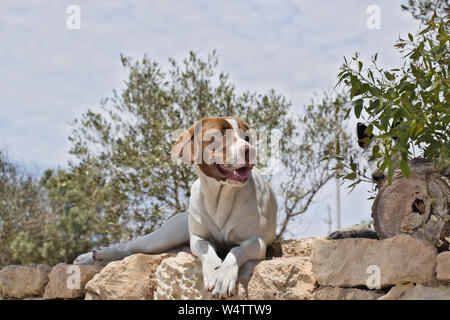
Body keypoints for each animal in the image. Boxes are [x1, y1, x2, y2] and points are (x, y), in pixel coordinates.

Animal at [74, 116, 278, 298]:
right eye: (219, 136)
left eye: (247, 137)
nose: (250, 150)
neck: (220, 197)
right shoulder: (198, 239)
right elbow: (209, 253)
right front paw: (214, 272)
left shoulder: (256, 242)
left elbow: (235, 251)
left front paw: (223, 277)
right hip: (166, 236)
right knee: (131, 246)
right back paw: (98, 254)